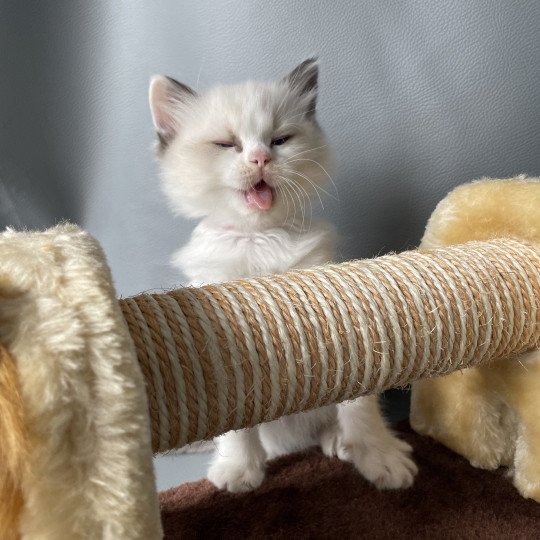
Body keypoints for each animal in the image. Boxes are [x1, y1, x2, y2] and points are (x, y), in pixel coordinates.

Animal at [149, 59, 418, 494]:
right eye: (227, 144)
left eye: (279, 140)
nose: (260, 159)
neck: (258, 239)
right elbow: (235, 426)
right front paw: (240, 470)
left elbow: (359, 404)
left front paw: (380, 456)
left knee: (327, 421)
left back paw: (338, 441)